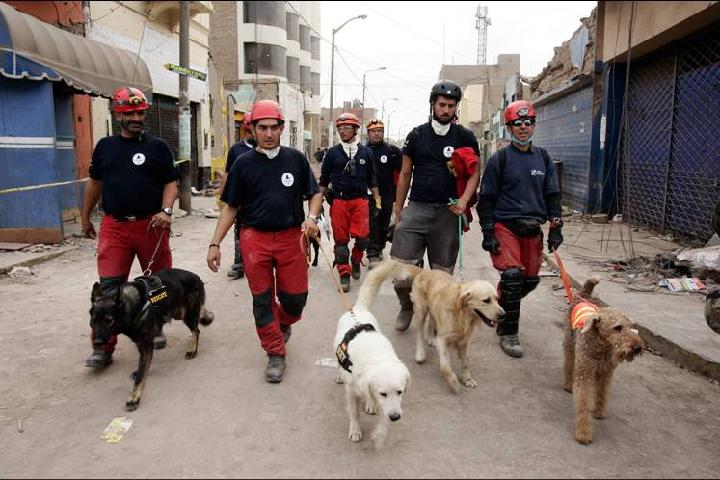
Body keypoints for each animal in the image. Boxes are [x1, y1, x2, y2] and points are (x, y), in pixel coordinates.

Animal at [90, 268, 214, 410]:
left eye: (109, 321)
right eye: (93, 321)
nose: (96, 343)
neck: (132, 306)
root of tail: (196, 277)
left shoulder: (146, 344)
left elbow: (141, 375)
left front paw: (134, 397)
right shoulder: (140, 343)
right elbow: (143, 366)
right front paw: (139, 373)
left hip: (186, 314)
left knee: (196, 331)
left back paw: (193, 350)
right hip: (179, 313)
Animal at [560, 280, 644, 444]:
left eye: (631, 326)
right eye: (617, 327)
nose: (637, 348)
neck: (602, 346)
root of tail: (584, 296)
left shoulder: (606, 373)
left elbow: (602, 393)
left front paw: (599, 411)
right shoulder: (585, 374)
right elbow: (584, 404)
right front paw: (583, 433)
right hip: (570, 343)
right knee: (568, 363)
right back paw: (567, 384)